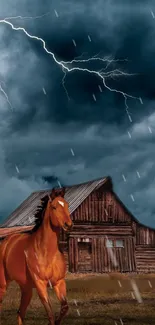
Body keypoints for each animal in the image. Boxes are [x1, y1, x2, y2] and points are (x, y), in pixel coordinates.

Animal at [0, 187, 73, 324]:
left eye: (67, 205)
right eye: (54, 207)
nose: (68, 225)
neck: (46, 252)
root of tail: (6, 242)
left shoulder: (59, 282)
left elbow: (64, 308)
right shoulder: (40, 284)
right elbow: (50, 314)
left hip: (26, 289)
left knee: (20, 313)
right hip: (3, 284)